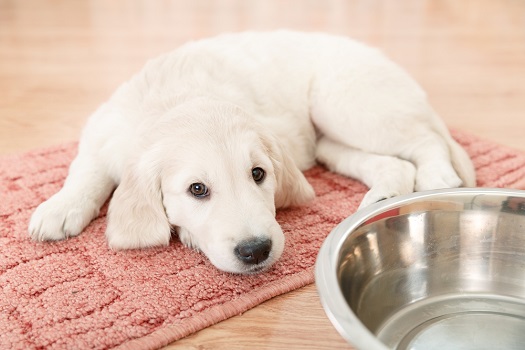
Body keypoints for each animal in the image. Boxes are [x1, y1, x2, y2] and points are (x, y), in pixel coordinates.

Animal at [27, 30, 474, 274]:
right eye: (197, 189)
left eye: (258, 174)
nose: (255, 250)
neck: (177, 101)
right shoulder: (101, 133)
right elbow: (85, 171)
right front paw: (59, 207)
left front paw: (189, 234)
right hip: (332, 140)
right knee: (395, 165)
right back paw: (383, 197)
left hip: (348, 106)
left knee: (425, 140)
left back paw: (439, 177)